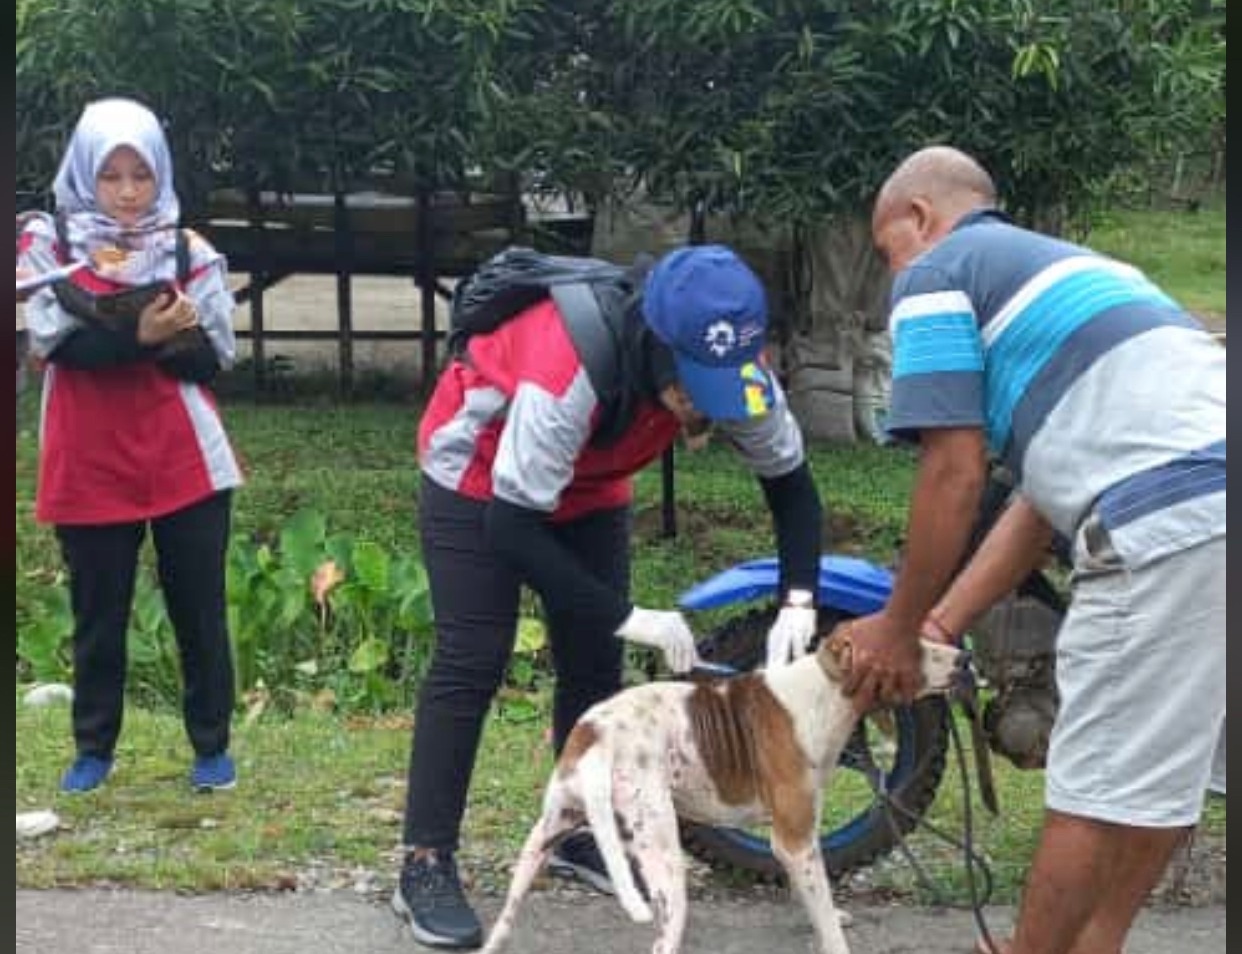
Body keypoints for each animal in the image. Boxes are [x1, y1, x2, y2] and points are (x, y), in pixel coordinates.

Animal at [474, 633, 958, 954]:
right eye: (912, 645)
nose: (966, 658)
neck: (826, 688)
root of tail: (595, 735)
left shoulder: (794, 844)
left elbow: (812, 896)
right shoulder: (796, 839)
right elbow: (825, 916)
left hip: (540, 842)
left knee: (504, 923)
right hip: (665, 861)